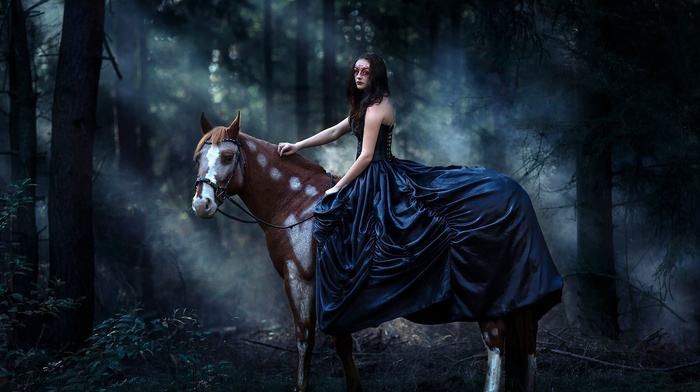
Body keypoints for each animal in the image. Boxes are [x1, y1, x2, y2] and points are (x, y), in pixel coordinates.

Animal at [191, 111, 540, 392]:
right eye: (198, 158)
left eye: (227, 157)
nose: (201, 204)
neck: (297, 205)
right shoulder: (331, 290)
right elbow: (342, 342)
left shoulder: (299, 279)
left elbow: (305, 339)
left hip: (486, 291)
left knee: (495, 339)